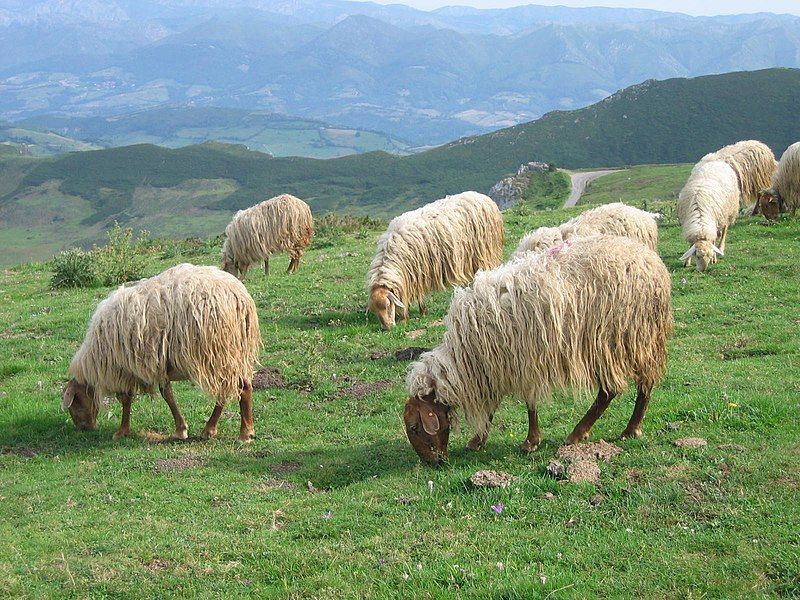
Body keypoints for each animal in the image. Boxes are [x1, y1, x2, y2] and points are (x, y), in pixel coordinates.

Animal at [63, 262, 262, 440]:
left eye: (75, 403)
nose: (84, 428)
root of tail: (239, 297)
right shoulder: (157, 364)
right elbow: (163, 393)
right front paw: (180, 429)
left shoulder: (126, 367)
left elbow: (132, 399)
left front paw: (122, 431)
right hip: (233, 352)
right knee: (236, 387)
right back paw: (215, 429)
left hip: (219, 351)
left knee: (239, 388)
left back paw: (243, 433)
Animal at [366, 191, 504, 328]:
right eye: (375, 311)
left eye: (388, 304)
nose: (388, 327)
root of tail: (484, 197)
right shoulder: (413, 272)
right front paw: (420, 310)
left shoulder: (417, 270)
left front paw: (410, 314)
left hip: (487, 251)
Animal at [404, 234, 672, 464]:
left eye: (414, 427)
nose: (431, 463)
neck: (464, 358)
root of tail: (653, 262)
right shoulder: (496, 367)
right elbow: (495, 405)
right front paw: (479, 440)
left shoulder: (517, 361)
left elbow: (528, 405)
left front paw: (529, 441)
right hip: (638, 339)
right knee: (641, 385)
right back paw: (627, 428)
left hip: (615, 339)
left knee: (612, 390)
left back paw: (588, 433)